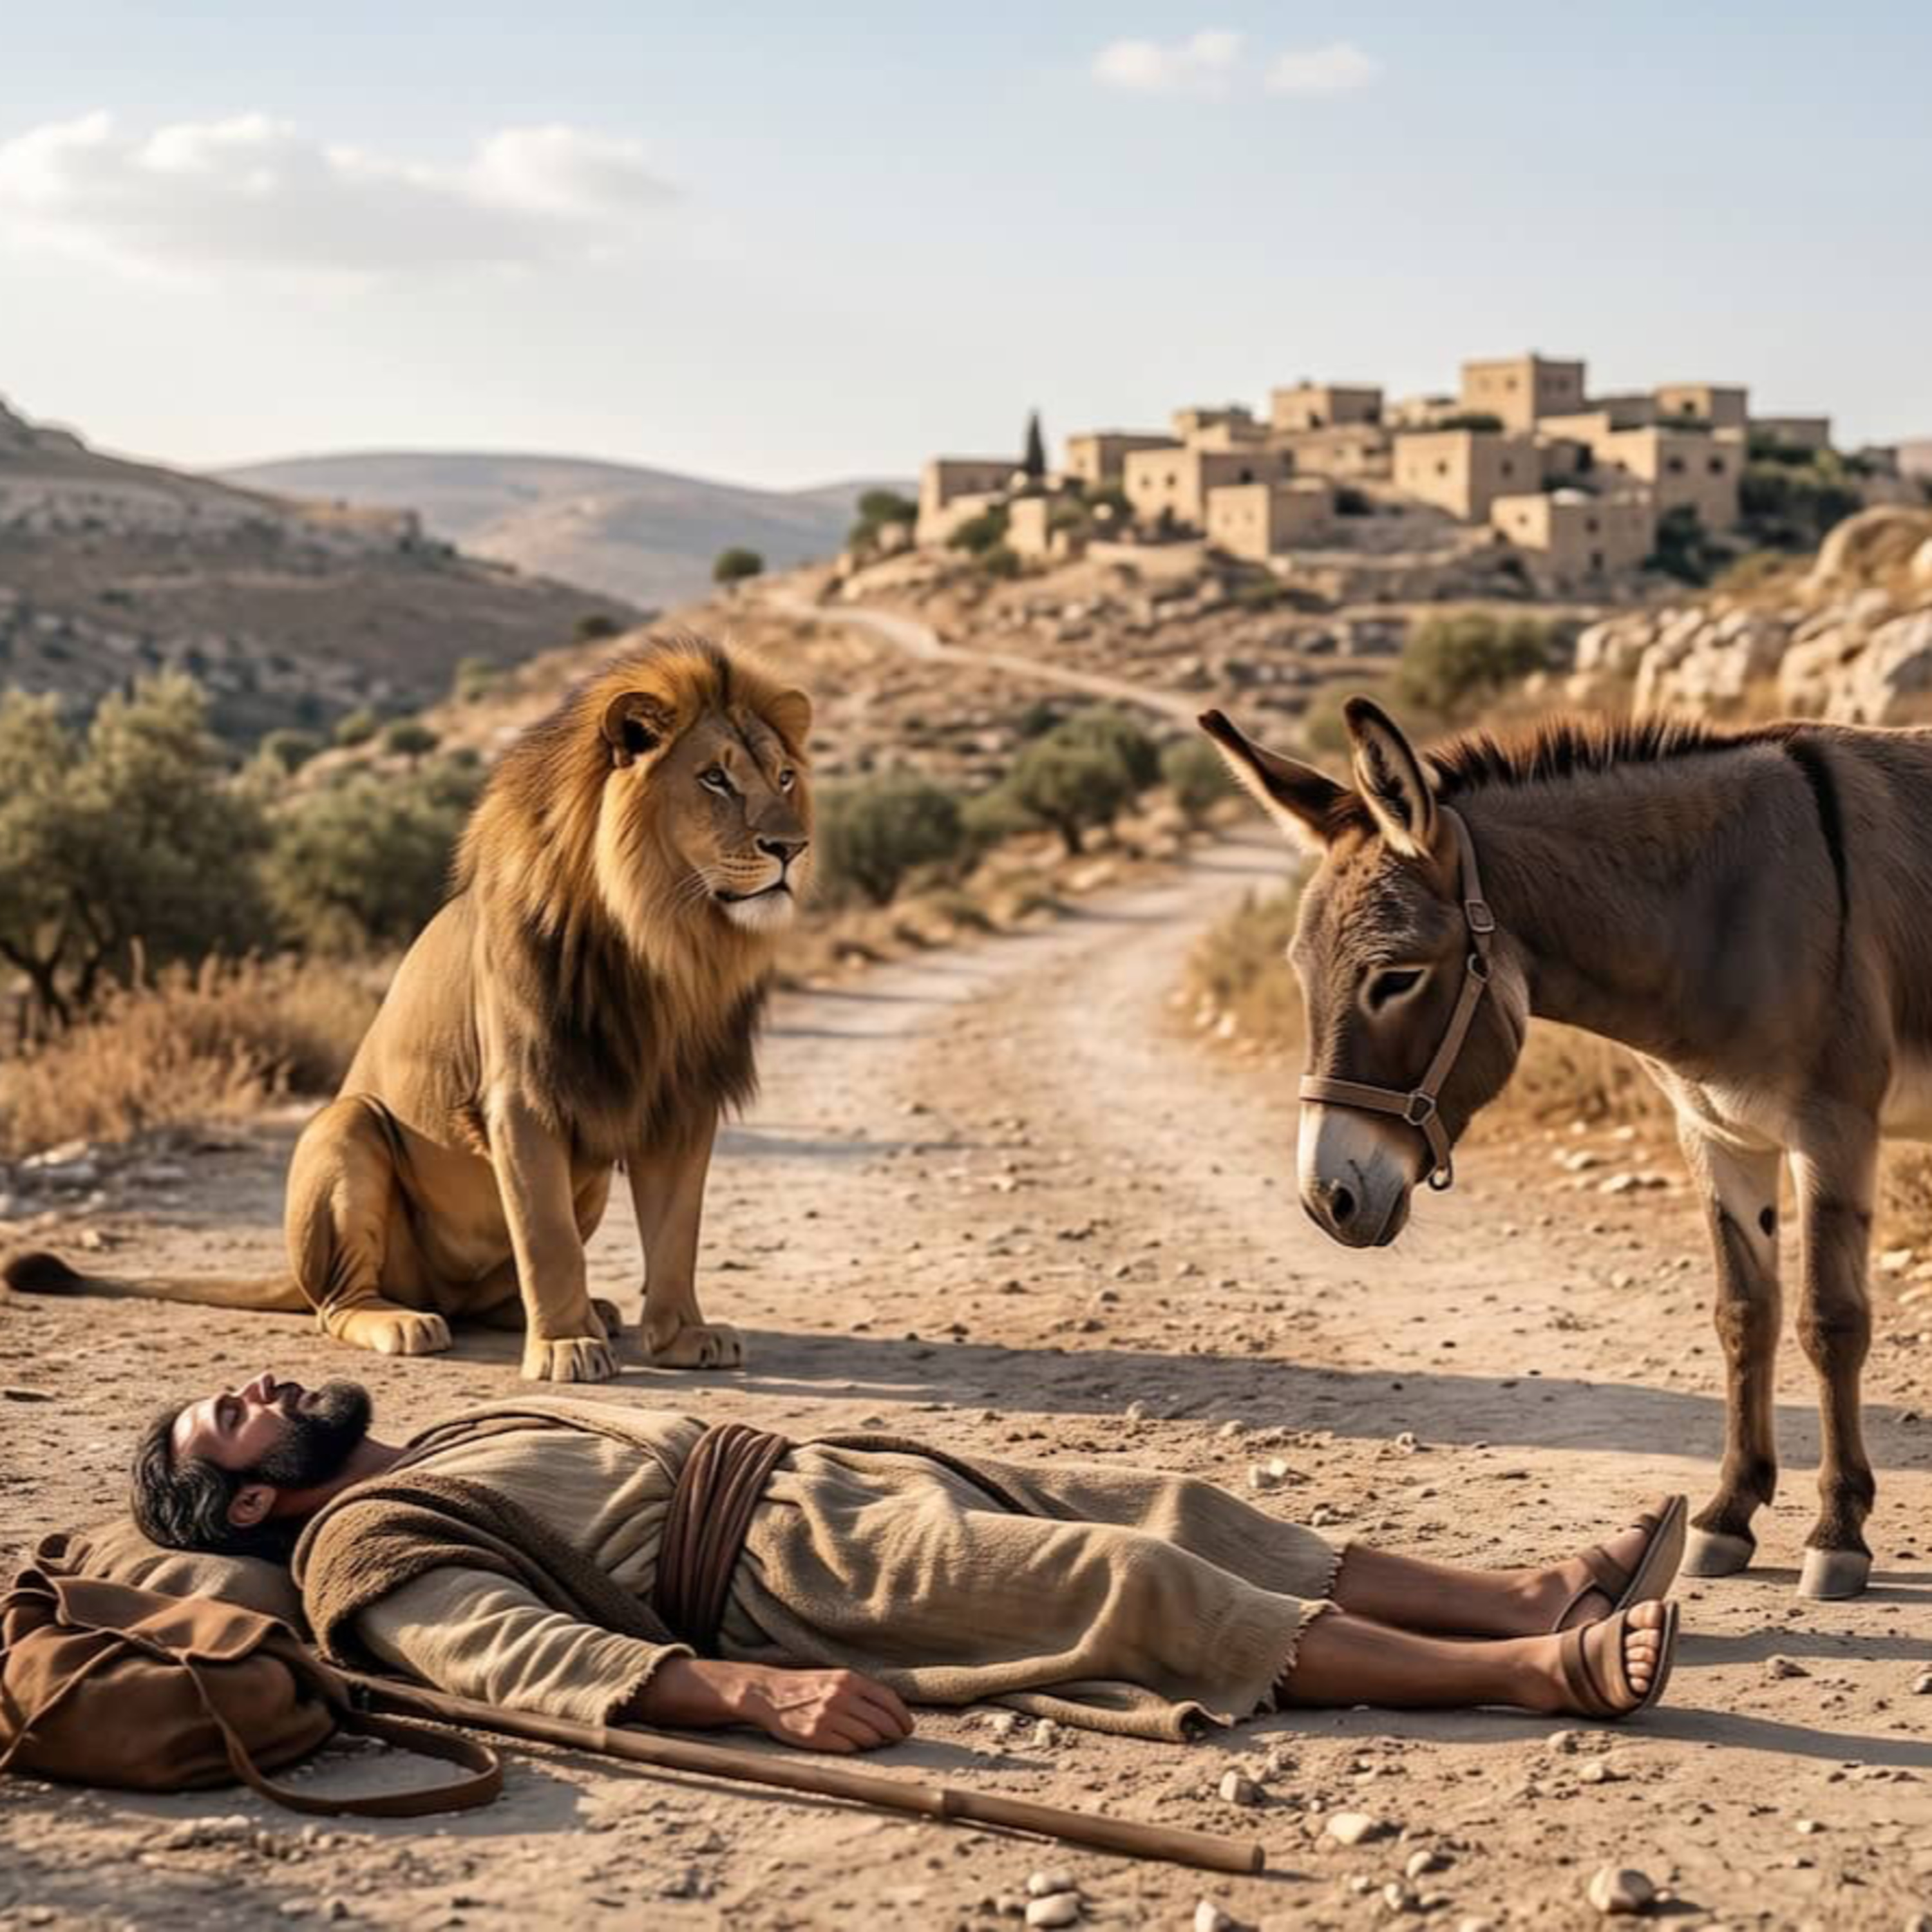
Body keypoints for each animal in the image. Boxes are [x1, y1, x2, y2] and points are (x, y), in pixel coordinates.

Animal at [2, 633, 813, 1382]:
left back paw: (587, 1312)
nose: (792, 848)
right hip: (349, 1125)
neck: (662, 943)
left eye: (784, 777)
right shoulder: (522, 1098)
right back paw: (413, 1322)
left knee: (492, 1291)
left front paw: (680, 1338)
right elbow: (547, 1240)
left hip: (579, 1184)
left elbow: (676, 1232)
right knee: (340, 1303)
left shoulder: (682, 1098)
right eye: (713, 779)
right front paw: (562, 1347)